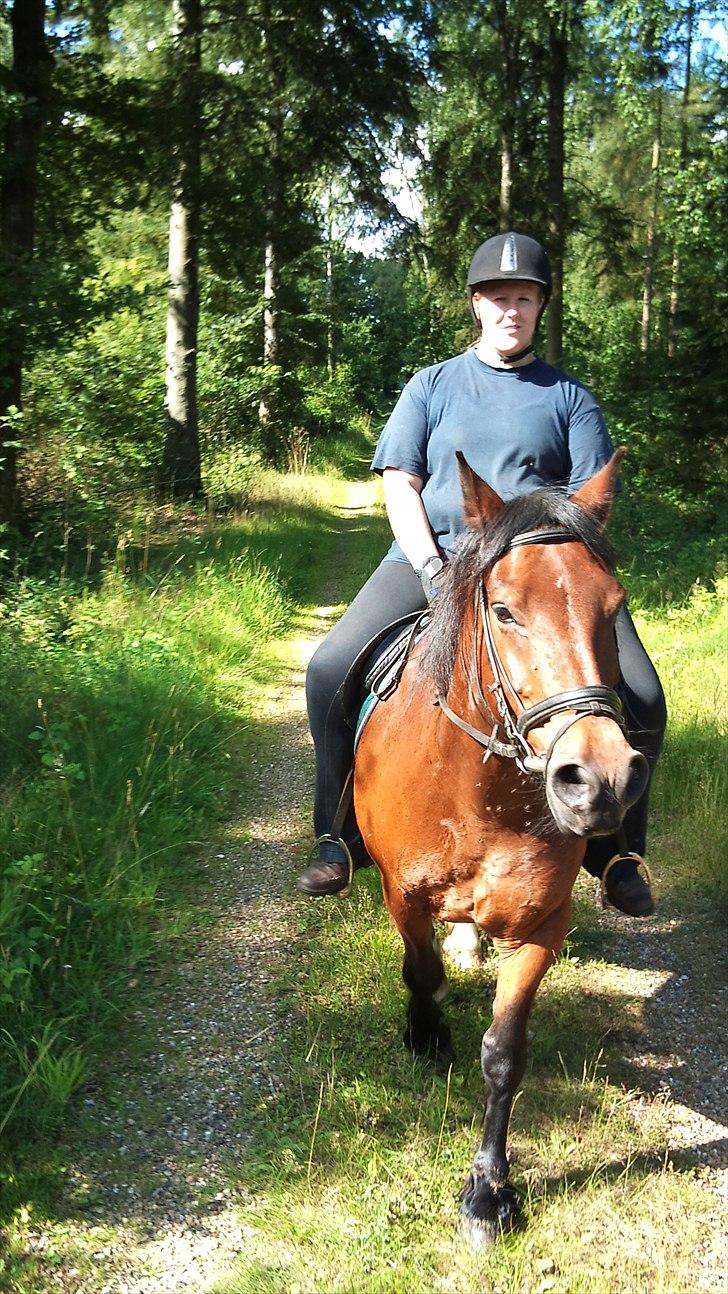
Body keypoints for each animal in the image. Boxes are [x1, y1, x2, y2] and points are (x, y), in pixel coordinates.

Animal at [354, 450, 649, 1247]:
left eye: (613, 608)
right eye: (506, 609)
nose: (599, 779)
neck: (479, 794)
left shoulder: (543, 924)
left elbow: (505, 1053)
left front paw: (488, 1191)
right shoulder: (401, 893)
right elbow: (421, 974)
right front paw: (426, 1036)